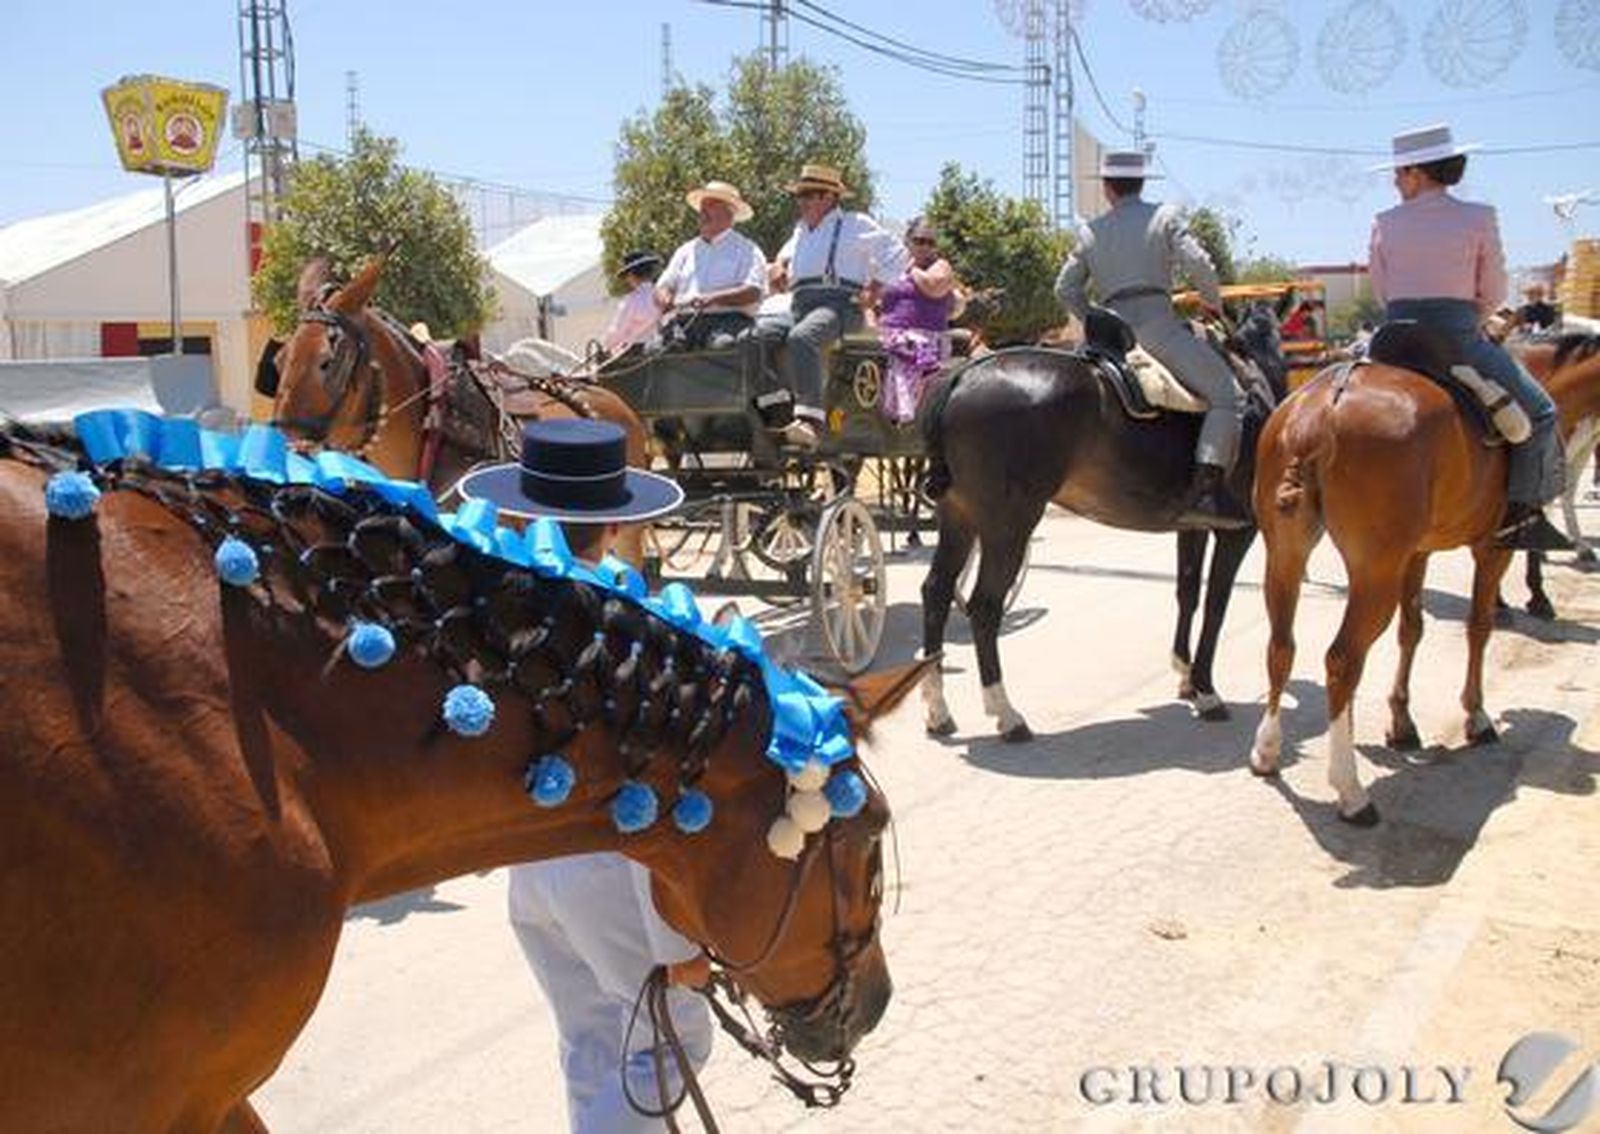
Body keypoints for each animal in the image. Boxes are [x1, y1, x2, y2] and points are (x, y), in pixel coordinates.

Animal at [919, 304, 1286, 739]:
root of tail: (961, 377)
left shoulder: (1192, 527)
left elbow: (1188, 592)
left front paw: (1186, 678)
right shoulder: (1240, 531)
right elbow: (1216, 604)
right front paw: (1206, 691)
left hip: (960, 519)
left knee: (937, 592)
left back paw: (938, 710)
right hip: (1008, 525)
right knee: (985, 607)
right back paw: (1007, 715)